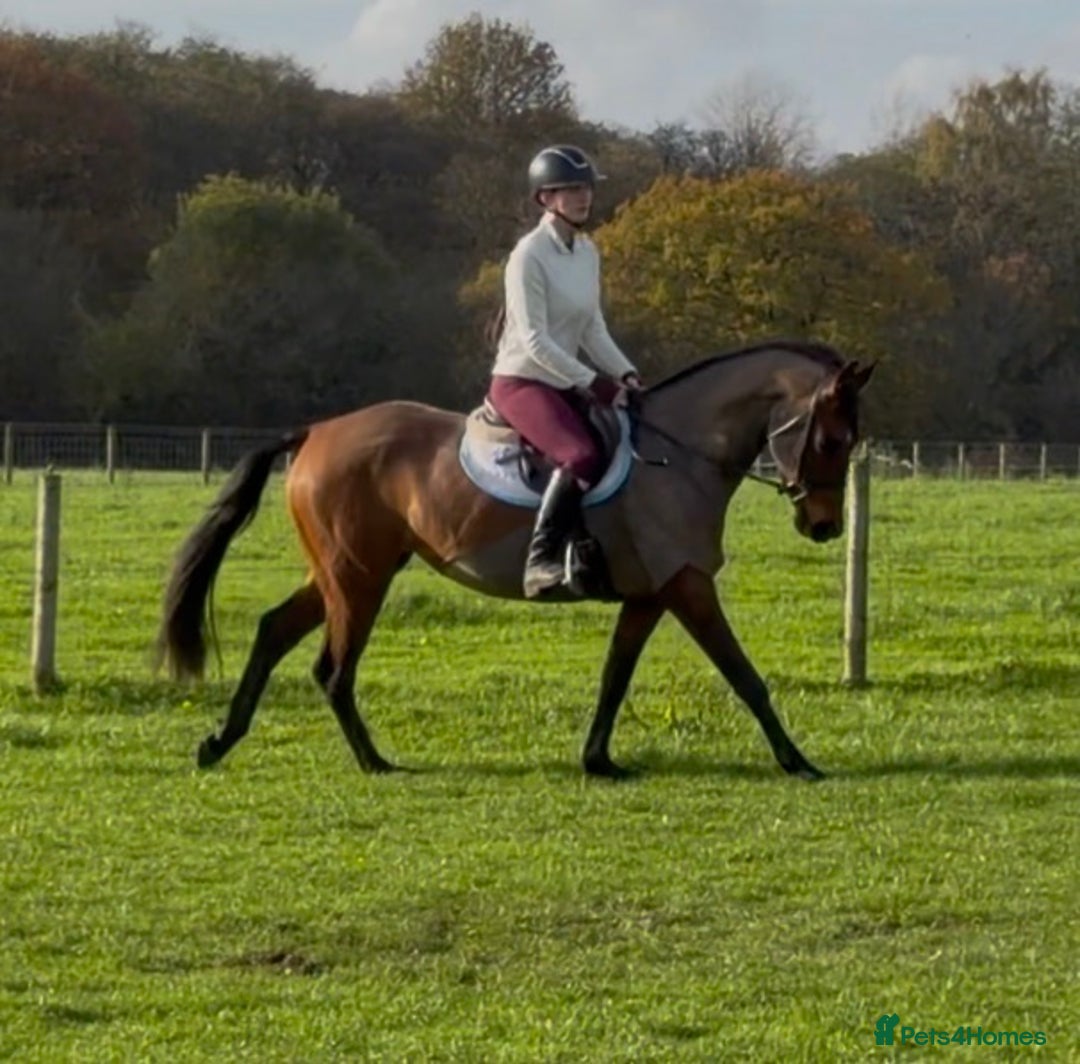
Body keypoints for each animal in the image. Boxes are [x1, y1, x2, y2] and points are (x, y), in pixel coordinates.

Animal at [157, 340, 873, 781]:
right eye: (832, 440)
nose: (824, 526)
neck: (679, 454)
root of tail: (315, 432)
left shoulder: (651, 593)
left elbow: (615, 676)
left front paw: (597, 759)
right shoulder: (688, 585)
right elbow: (744, 675)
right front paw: (798, 761)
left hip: (344, 573)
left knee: (274, 628)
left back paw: (221, 740)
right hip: (358, 579)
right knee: (332, 668)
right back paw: (372, 761)